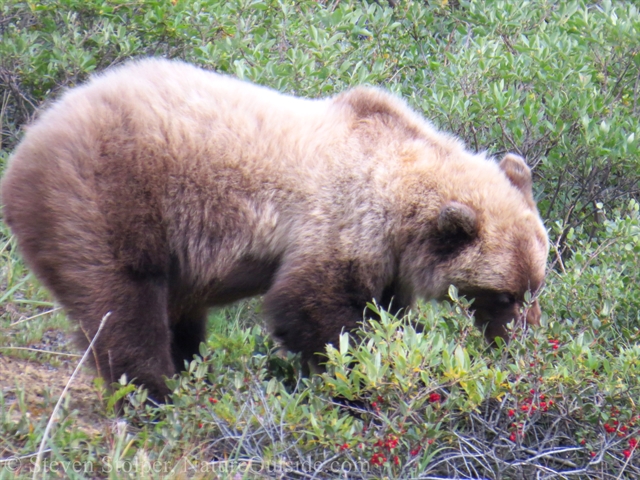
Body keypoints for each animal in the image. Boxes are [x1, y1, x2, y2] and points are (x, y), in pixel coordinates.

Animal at [2, 58, 548, 400]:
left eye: (536, 286)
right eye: (504, 295)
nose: (522, 341)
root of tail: (30, 138)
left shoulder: (386, 259)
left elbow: (382, 311)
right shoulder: (339, 223)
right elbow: (314, 311)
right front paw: (356, 385)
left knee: (178, 315)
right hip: (107, 200)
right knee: (123, 306)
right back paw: (156, 395)